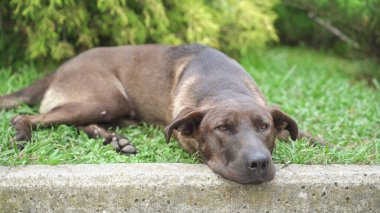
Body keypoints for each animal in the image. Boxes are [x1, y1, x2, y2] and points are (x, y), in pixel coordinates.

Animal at [0, 44, 324, 184]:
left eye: (264, 126)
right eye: (222, 128)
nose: (259, 163)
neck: (224, 86)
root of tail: (58, 69)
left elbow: (301, 132)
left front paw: (319, 141)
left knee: (80, 124)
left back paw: (116, 140)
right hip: (109, 98)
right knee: (28, 117)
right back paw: (21, 136)